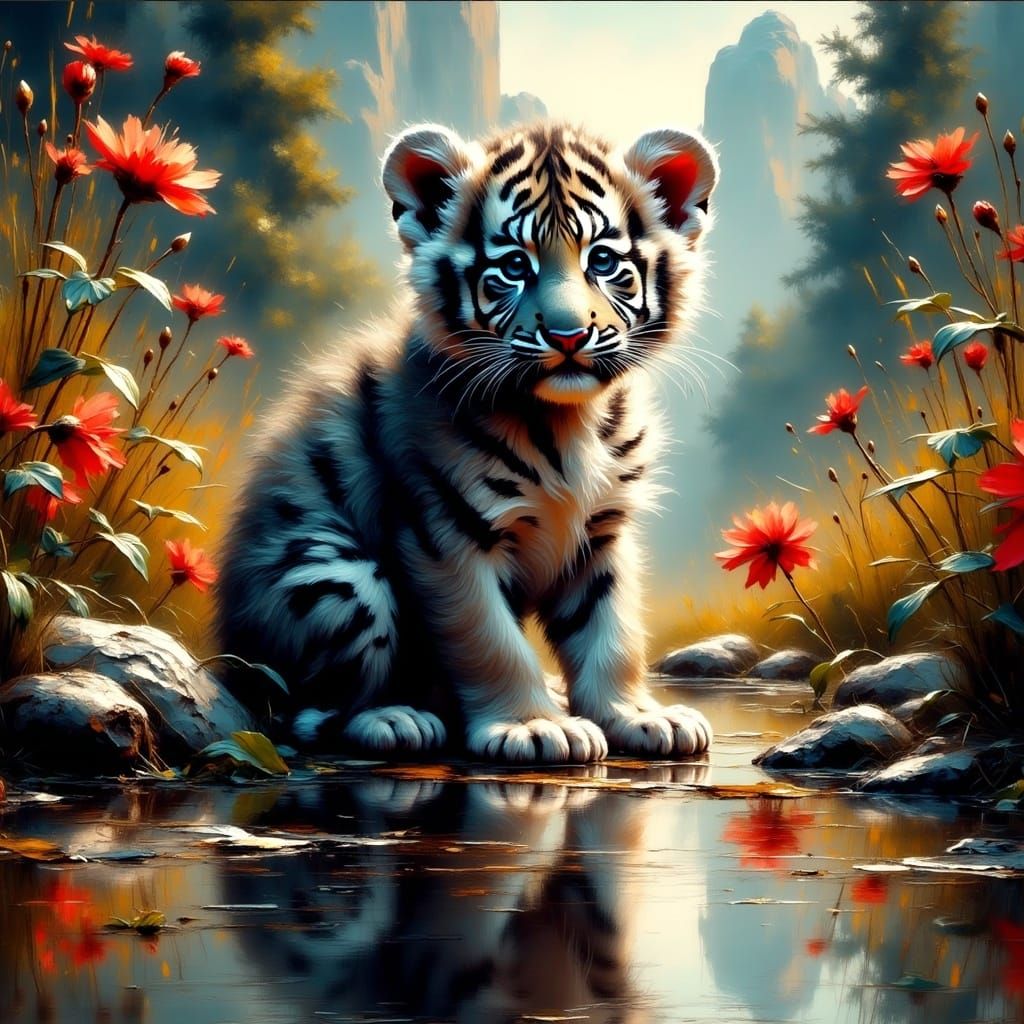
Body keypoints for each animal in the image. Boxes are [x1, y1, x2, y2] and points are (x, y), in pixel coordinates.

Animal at [216, 119, 718, 763]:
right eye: (514, 266)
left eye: (603, 260)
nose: (569, 335)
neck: (567, 422)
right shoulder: (447, 531)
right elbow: (489, 638)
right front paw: (533, 726)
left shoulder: (601, 533)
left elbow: (611, 631)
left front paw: (637, 716)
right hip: (338, 576)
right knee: (303, 710)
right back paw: (393, 717)